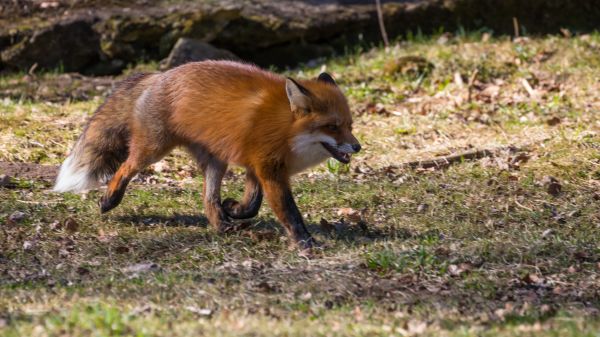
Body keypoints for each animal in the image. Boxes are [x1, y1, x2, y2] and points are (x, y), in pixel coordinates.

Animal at [52, 60, 360, 249]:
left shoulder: (258, 166)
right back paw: (109, 199)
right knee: (125, 167)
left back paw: (221, 224)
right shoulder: (269, 170)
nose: (357, 147)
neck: (285, 129)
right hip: (152, 150)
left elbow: (252, 202)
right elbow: (289, 211)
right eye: (332, 127)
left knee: (208, 198)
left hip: (216, 162)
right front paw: (305, 243)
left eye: (349, 125)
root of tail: (159, 75)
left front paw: (234, 209)